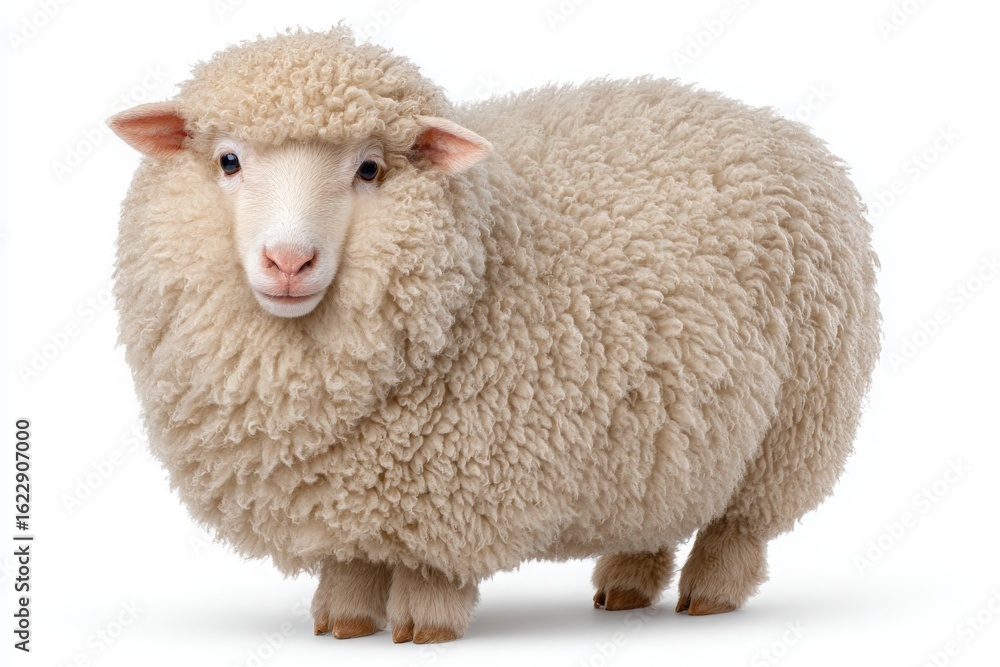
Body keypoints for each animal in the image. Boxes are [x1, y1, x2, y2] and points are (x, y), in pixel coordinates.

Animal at [108, 27, 880, 643]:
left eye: (369, 169)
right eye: (228, 161)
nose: (288, 261)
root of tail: (780, 127)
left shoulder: (456, 489)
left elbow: (432, 572)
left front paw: (424, 627)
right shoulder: (348, 487)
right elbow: (351, 559)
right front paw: (344, 619)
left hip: (793, 423)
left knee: (741, 523)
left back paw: (711, 593)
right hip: (669, 427)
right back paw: (627, 583)